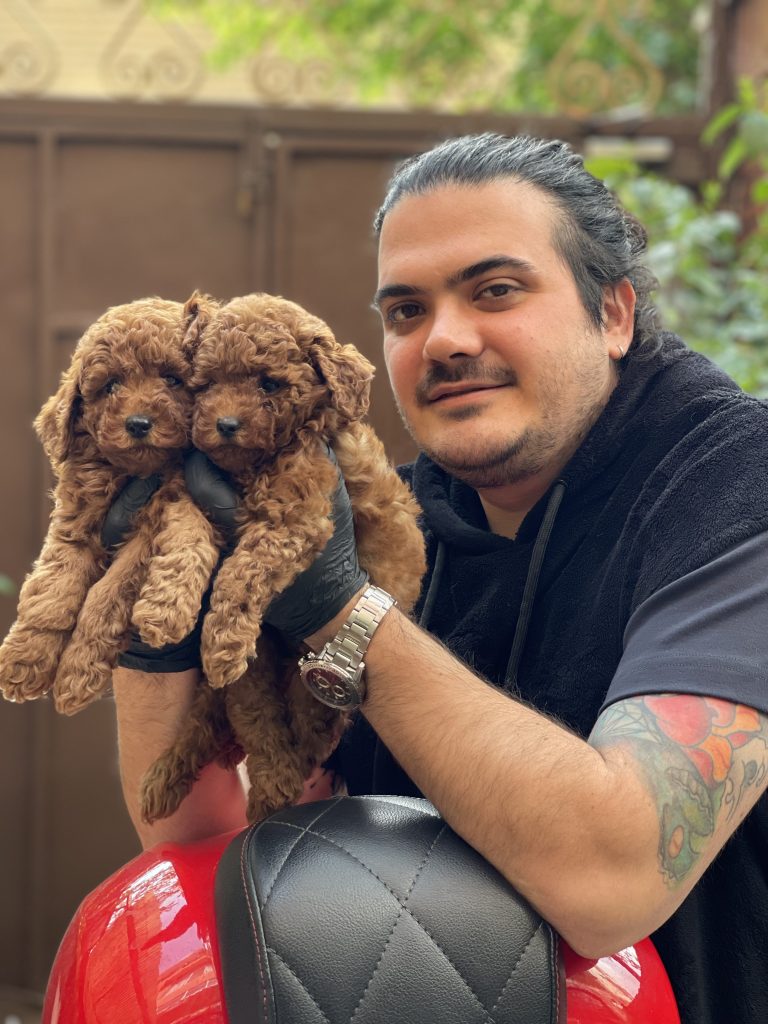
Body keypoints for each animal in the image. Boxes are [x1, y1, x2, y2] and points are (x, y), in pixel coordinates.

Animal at [0, 296, 219, 712]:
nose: (138, 423)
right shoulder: (75, 523)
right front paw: (25, 658)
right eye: (111, 385)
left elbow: (105, 595)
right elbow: (51, 590)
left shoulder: (147, 536)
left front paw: (77, 670)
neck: (131, 473)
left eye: (172, 379)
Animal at [139, 294, 428, 823]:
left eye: (268, 384)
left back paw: (276, 787)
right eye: (207, 384)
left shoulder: (298, 517)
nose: (225, 425)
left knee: (306, 728)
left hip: (313, 682)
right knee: (250, 721)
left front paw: (222, 633)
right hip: (255, 677)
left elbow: (244, 569)